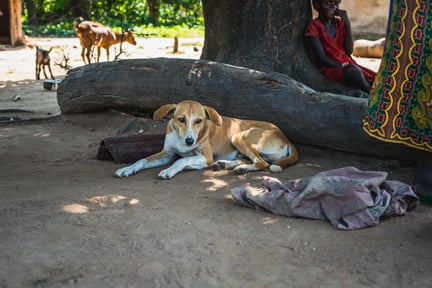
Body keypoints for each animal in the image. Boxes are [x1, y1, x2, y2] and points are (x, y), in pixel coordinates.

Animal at [113, 100, 298, 179]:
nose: (189, 141)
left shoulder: (205, 157)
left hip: (238, 136)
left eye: (199, 121)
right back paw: (227, 165)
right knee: (251, 160)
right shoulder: (166, 153)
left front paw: (169, 170)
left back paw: (239, 168)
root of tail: (285, 136)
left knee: (262, 163)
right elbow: (142, 160)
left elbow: (180, 161)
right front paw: (127, 169)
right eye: (181, 119)